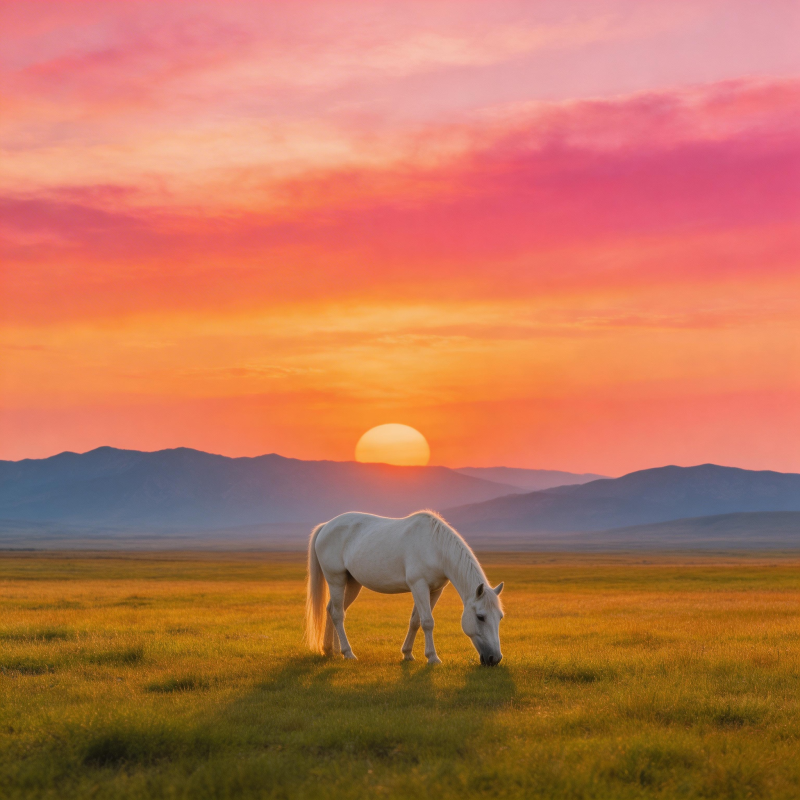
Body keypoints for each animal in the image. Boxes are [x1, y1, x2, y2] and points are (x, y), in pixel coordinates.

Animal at [305, 510, 504, 665]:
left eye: (500, 617)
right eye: (480, 617)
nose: (494, 659)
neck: (435, 547)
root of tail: (326, 526)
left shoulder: (434, 590)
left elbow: (415, 621)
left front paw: (407, 654)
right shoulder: (419, 586)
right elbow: (427, 621)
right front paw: (433, 657)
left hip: (352, 583)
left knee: (332, 609)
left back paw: (331, 650)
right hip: (336, 579)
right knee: (338, 614)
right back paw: (348, 653)